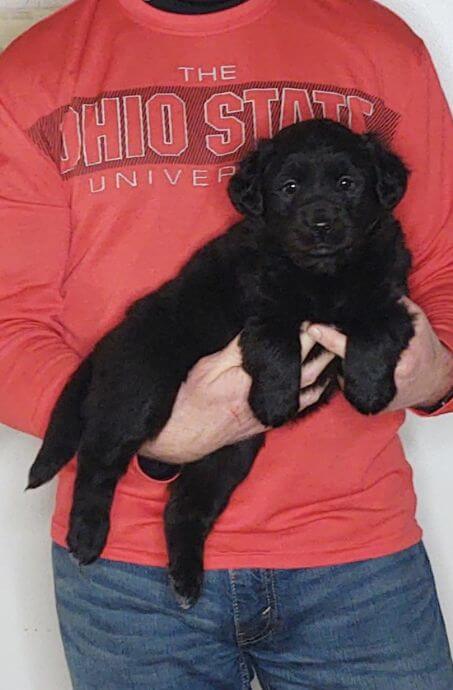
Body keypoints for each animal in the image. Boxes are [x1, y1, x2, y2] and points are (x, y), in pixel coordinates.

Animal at [27, 121, 414, 604]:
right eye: (289, 188)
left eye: (347, 184)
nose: (321, 223)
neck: (324, 276)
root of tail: (109, 341)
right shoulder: (261, 308)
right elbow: (277, 343)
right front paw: (276, 401)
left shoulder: (393, 298)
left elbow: (375, 329)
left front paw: (368, 390)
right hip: (136, 391)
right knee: (98, 459)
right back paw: (86, 535)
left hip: (229, 452)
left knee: (183, 508)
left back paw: (186, 580)